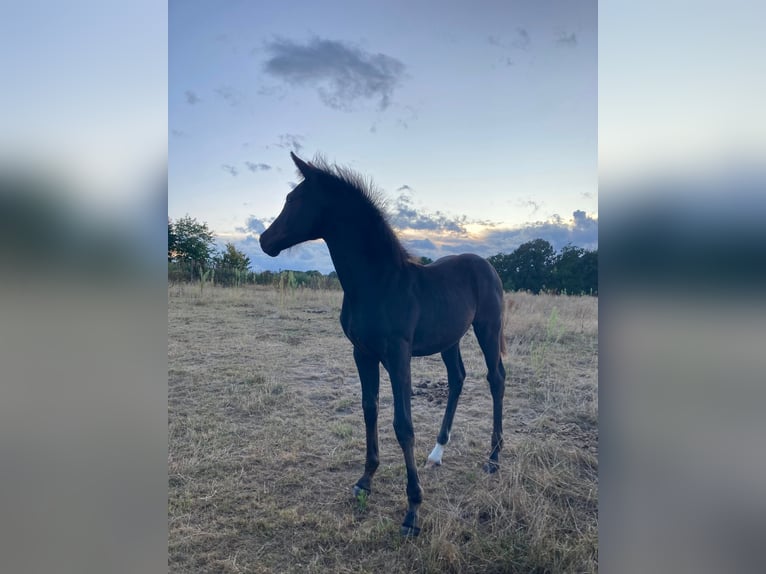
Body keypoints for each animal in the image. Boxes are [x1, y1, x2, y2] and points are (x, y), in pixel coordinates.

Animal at [260, 152, 507, 537]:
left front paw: (413, 510)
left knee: (495, 379)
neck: (377, 282)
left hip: (488, 329)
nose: (263, 240)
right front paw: (365, 480)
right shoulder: (362, 353)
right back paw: (437, 452)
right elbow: (369, 409)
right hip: (449, 338)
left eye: (294, 200)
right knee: (457, 379)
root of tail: (486, 265)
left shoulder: (397, 355)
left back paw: (493, 459)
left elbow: (403, 424)